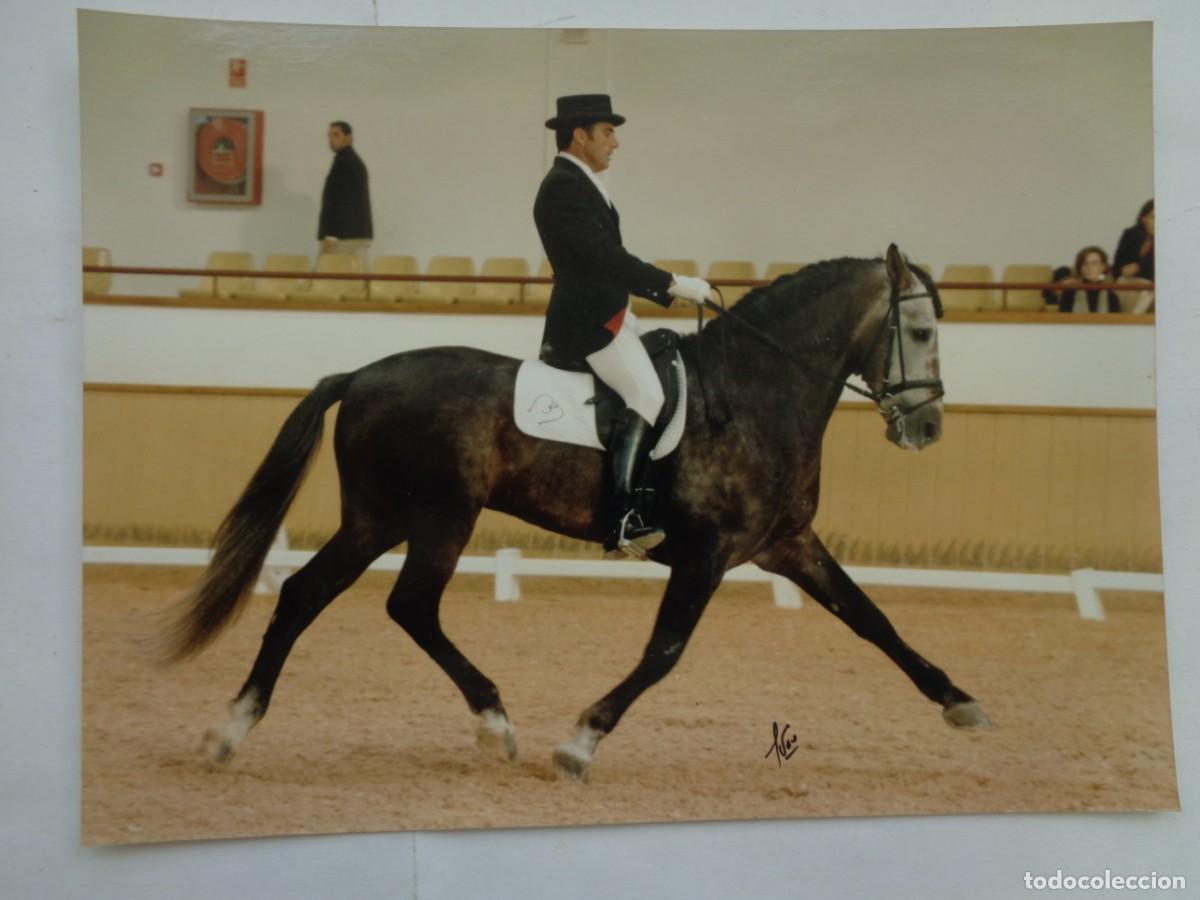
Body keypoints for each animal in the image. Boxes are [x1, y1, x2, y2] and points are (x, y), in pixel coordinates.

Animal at [162, 243, 991, 783]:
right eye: (921, 332)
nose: (926, 428)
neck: (758, 390)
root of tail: (362, 373)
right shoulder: (708, 555)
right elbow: (664, 653)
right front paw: (581, 743)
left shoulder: (786, 542)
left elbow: (872, 619)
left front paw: (962, 704)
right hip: (439, 517)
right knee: (411, 606)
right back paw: (495, 726)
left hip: (378, 519)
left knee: (306, 596)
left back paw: (228, 732)